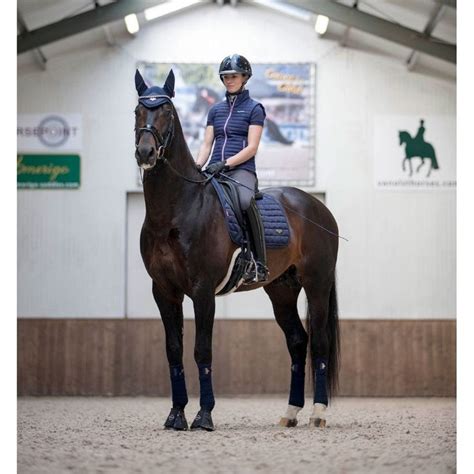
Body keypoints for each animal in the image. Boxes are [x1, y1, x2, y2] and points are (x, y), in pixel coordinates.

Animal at [133, 68, 340, 432]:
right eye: (137, 111)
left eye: (168, 111)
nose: (146, 152)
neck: (177, 208)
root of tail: (318, 208)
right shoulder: (164, 291)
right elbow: (174, 351)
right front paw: (176, 415)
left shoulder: (203, 290)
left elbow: (202, 351)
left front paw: (203, 416)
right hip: (282, 290)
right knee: (297, 342)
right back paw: (290, 413)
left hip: (317, 284)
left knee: (320, 343)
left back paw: (318, 413)